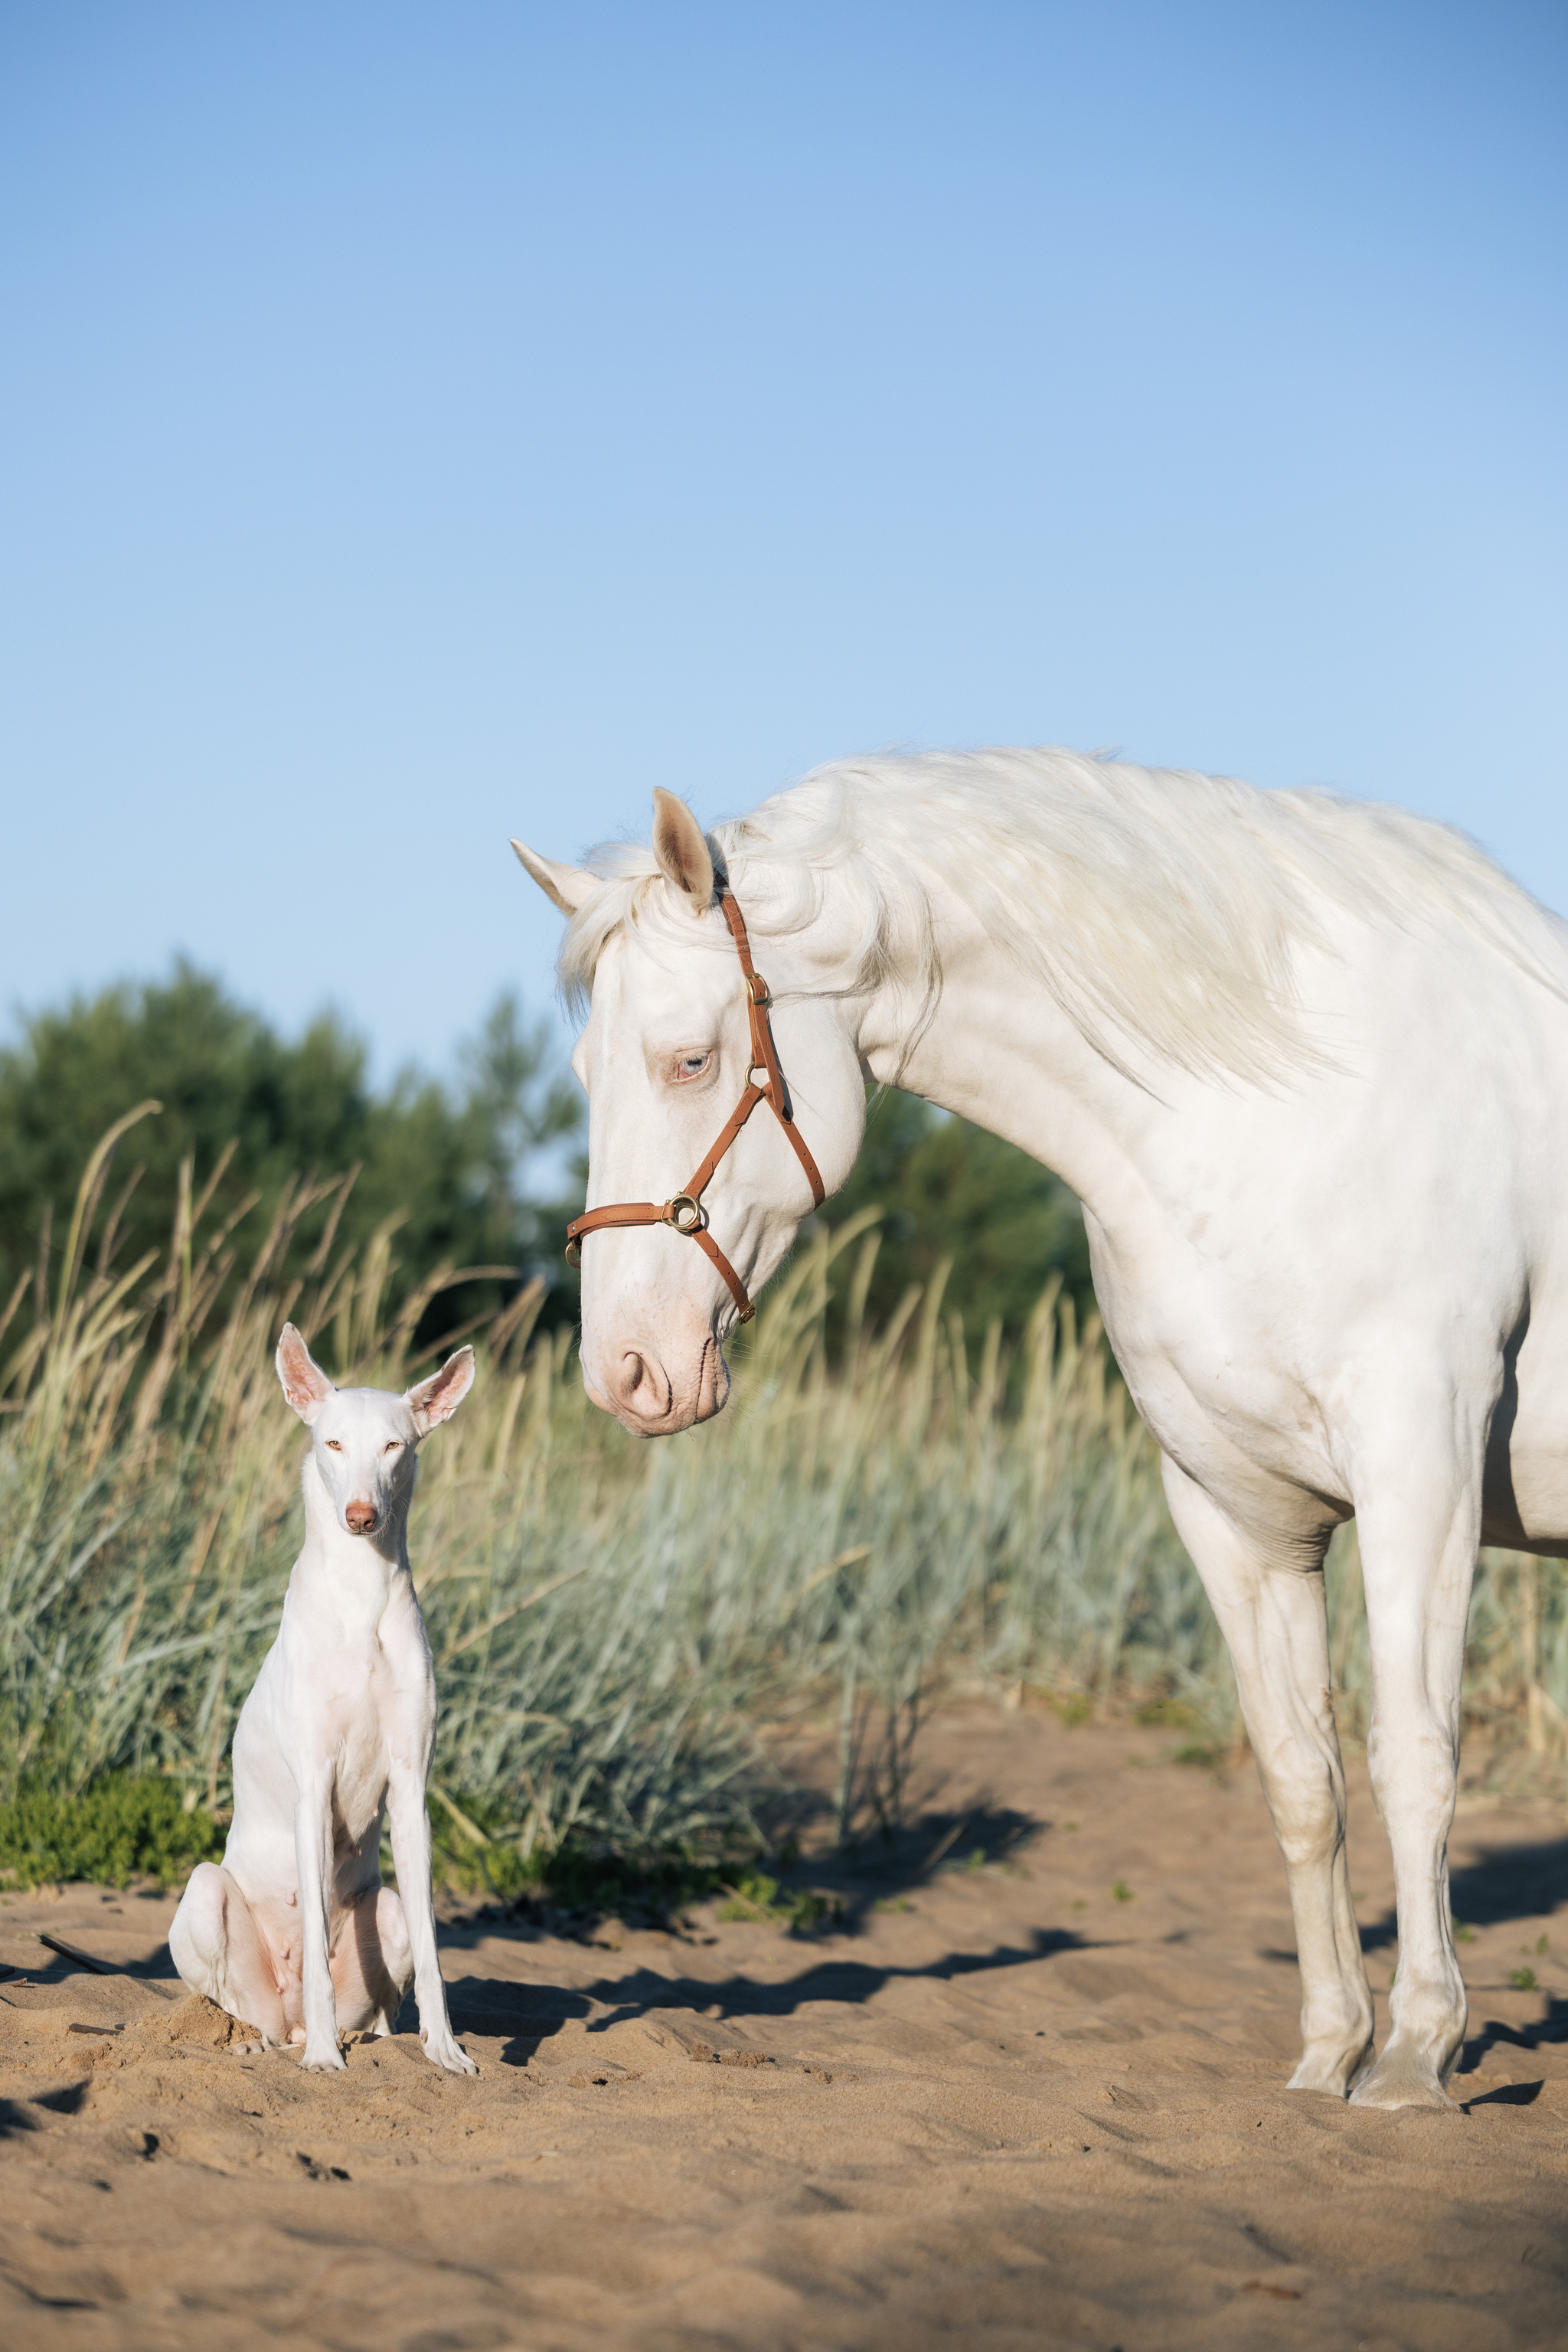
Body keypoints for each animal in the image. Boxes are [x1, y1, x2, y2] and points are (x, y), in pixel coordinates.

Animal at [172, 1326, 479, 2079]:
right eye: (332, 1444)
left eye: (395, 1445)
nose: (360, 1517)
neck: (361, 1598)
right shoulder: (314, 1787)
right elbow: (312, 1931)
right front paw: (321, 2061)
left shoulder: (412, 1789)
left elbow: (435, 1951)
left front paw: (445, 2048)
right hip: (205, 1893)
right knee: (235, 2000)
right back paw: (270, 2039)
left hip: (383, 1912)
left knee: (377, 1993)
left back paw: (363, 2036)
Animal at [514, 753, 1568, 2116]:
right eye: (589, 1074)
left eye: (692, 1061)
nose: (625, 1372)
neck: (1287, 1105)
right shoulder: (1237, 1513)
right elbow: (1302, 1778)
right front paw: (1329, 2056)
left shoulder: (1420, 1476)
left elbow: (1417, 1760)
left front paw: (1415, 2058)